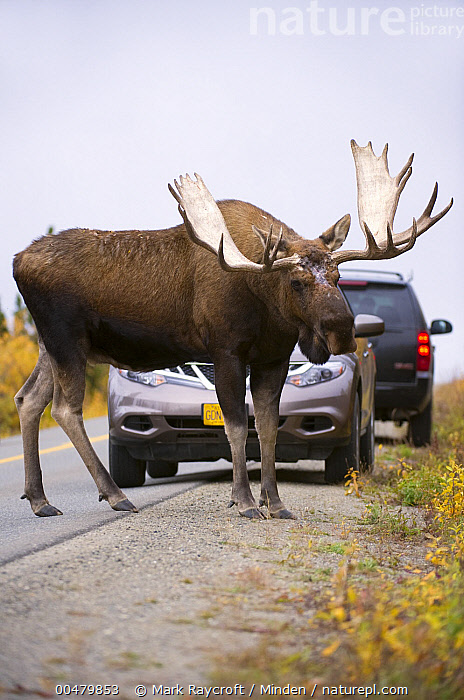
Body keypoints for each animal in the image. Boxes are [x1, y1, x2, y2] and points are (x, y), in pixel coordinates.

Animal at [12, 139, 452, 516]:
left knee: (28, 399)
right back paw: (115, 494)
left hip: (51, 345)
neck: (267, 305)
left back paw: (39, 499)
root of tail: (18, 260)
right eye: (296, 282)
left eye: (337, 276)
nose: (342, 330)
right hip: (67, 338)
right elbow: (238, 427)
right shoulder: (226, 351)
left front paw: (275, 501)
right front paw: (244, 501)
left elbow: (269, 429)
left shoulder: (272, 359)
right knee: (65, 409)